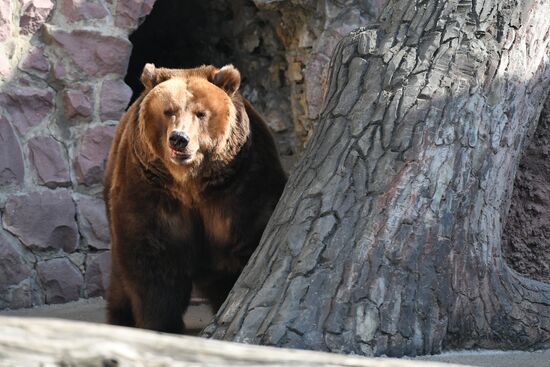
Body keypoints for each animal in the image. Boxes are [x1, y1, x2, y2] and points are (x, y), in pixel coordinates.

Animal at [103, 63, 288, 334]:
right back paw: (120, 317)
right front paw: (162, 324)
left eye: (201, 113)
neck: (191, 184)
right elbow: (152, 258)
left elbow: (248, 238)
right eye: (168, 111)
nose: (179, 139)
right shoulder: (150, 190)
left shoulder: (241, 185)